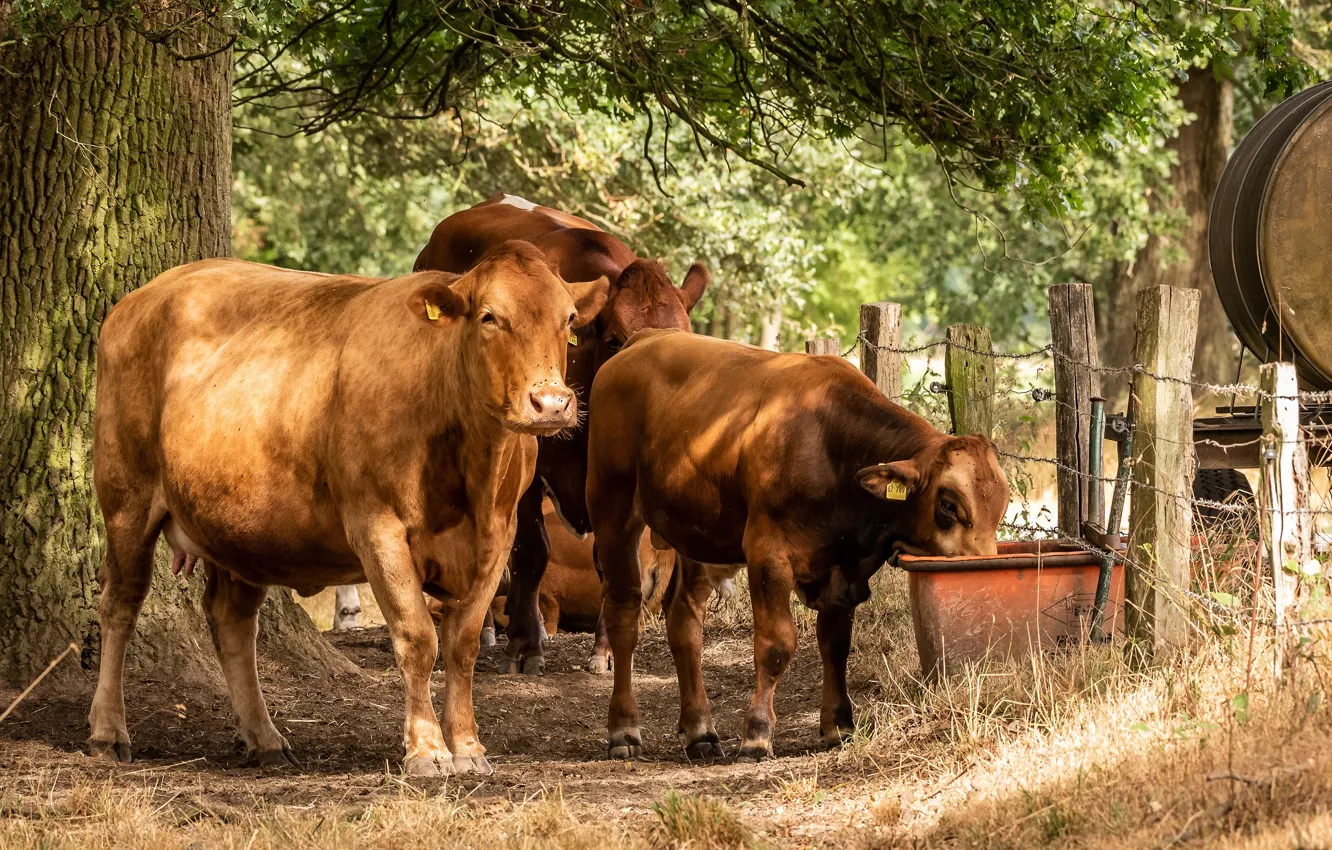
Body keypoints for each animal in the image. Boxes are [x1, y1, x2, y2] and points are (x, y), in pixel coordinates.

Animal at [88, 244, 608, 776]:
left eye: (568, 319)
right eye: (489, 317)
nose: (551, 402)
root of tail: (147, 294)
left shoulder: (499, 537)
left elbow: (461, 645)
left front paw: (467, 746)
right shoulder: (377, 527)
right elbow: (418, 638)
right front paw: (427, 749)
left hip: (238, 526)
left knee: (232, 620)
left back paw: (264, 737)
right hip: (127, 495)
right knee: (120, 603)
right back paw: (108, 731)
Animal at [410, 193, 709, 675]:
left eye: (684, 339)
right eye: (615, 339)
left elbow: (612, 561)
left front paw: (606, 649)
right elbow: (532, 552)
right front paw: (526, 645)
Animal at [586, 330, 1009, 763]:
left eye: (1002, 504)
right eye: (948, 505)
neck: (832, 446)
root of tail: (646, 338)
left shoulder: (844, 570)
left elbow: (836, 644)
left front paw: (839, 724)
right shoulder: (768, 555)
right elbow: (776, 645)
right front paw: (757, 733)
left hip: (695, 531)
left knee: (685, 621)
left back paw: (700, 731)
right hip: (611, 508)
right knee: (623, 613)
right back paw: (624, 730)